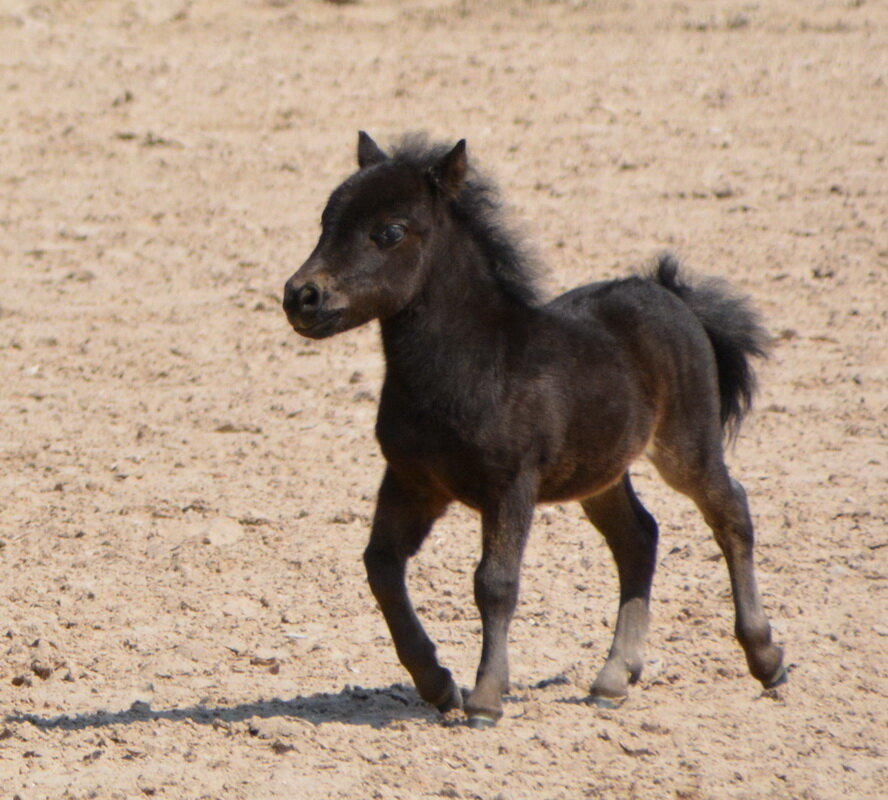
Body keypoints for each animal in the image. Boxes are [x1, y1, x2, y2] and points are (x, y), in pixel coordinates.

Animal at [282, 134, 784, 728]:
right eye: (326, 221)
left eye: (390, 232)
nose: (301, 297)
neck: (468, 366)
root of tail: (674, 295)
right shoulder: (412, 481)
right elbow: (381, 566)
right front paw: (438, 684)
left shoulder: (510, 484)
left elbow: (495, 583)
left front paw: (485, 699)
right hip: (600, 472)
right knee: (638, 538)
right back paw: (613, 679)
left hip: (685, 445)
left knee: (730, 512)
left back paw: (766, 659)